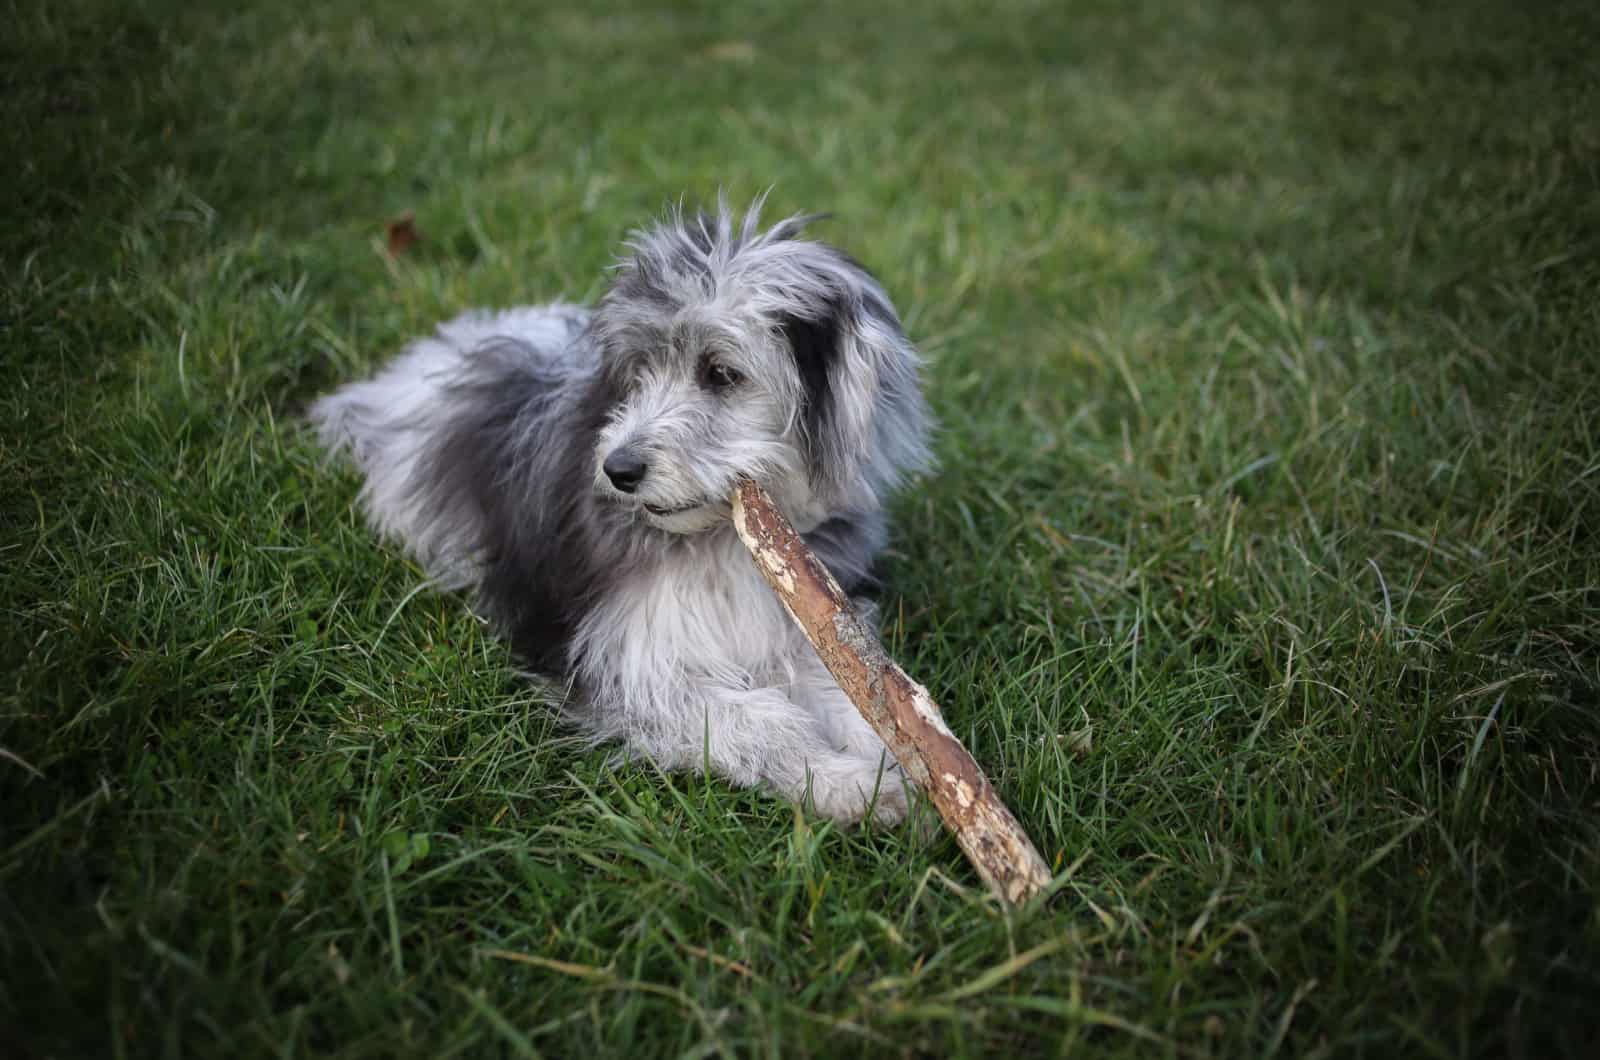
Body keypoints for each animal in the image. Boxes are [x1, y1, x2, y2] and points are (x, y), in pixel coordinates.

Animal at [307, 201, 934, 832]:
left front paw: (901, 770)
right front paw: (849, 784)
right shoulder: (623, 660)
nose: (618, 470)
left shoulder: (797, 630)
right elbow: (758, 721)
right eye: (639, 373)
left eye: (721, 373)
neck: (717, 540)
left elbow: (857, 697)